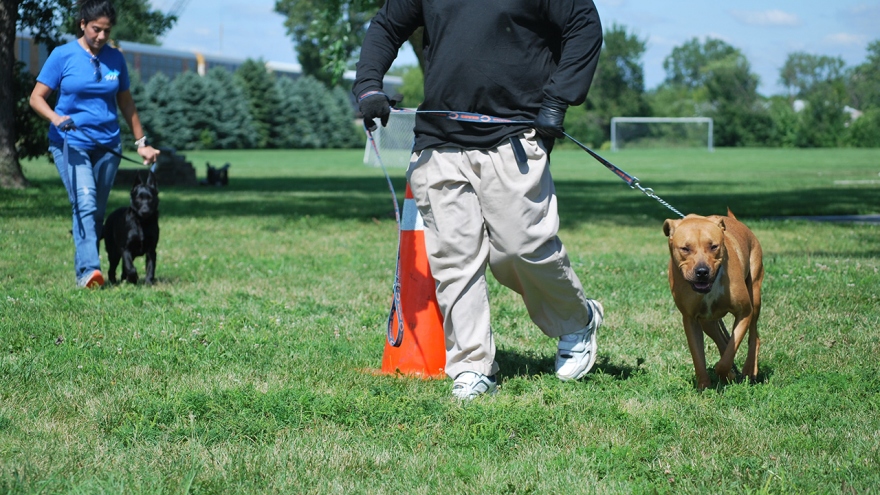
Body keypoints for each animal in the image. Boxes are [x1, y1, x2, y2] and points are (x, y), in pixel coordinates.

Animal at [660, 209, 764, 392]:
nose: (702, 271)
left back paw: (748, 370)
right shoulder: (691, 320)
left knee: (753, 337)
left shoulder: (744, 312)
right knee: (722, 340)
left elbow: (727, 357)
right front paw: (704, 386)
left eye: (714, 246)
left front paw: (723, 373)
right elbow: (698, 356)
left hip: (755, 295)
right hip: (707, 322)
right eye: (685, 248)